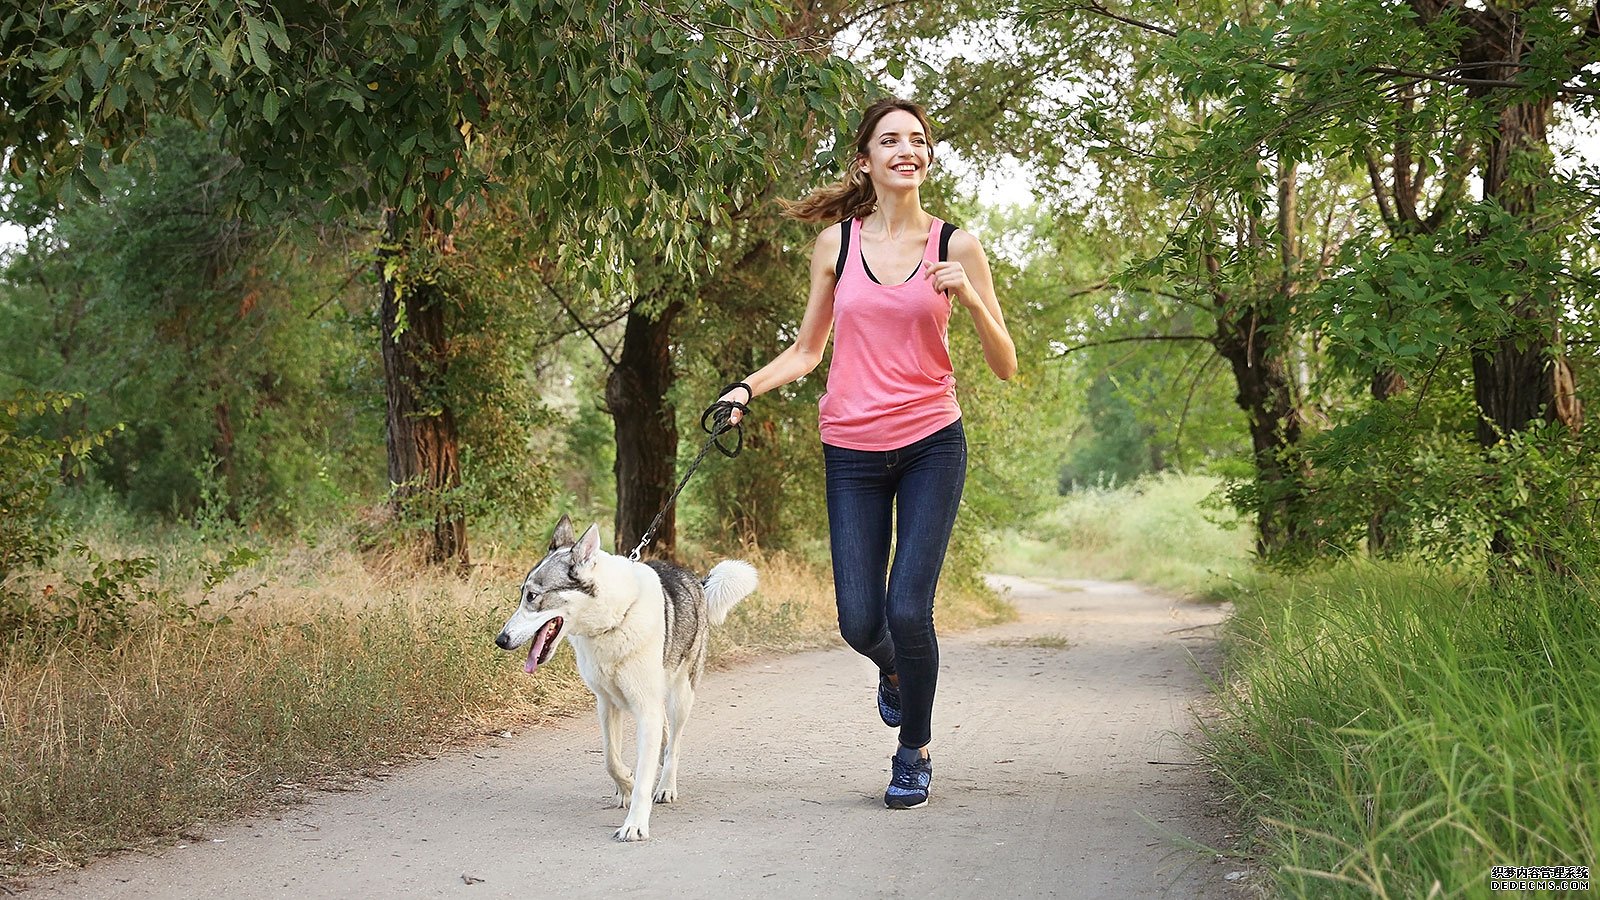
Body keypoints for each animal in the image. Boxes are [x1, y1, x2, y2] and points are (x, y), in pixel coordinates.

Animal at [492, 515, 755, 839]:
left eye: (532, 596)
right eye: (521, 594)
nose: (501, 640)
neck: (612, 621)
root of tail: (694, 579)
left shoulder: (645, 709)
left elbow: (644, 775)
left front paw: (635, 823)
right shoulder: (606, 705)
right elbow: (611, 759)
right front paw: (626, 785)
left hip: (681, 697)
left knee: (674, 745)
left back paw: (666, 786)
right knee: (662, 739)